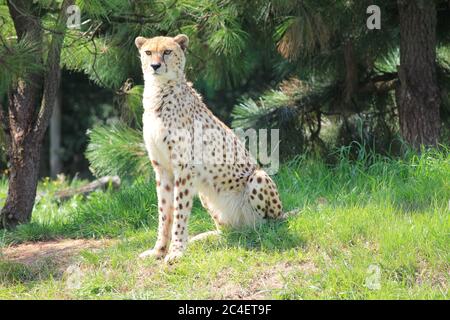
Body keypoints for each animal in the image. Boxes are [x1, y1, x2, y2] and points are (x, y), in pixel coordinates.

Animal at [134, 34, 282, 262]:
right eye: (148, 52)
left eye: (167, 51)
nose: (155, 66)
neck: (158, 93)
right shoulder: (162, 169)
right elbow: (164, 212)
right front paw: (158, 251)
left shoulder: (183, 169)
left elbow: (179, 211)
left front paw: (176, 251)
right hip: (206, 195)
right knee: (230, 232)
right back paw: (205, 237)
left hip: (258, 177)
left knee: (267, 225)